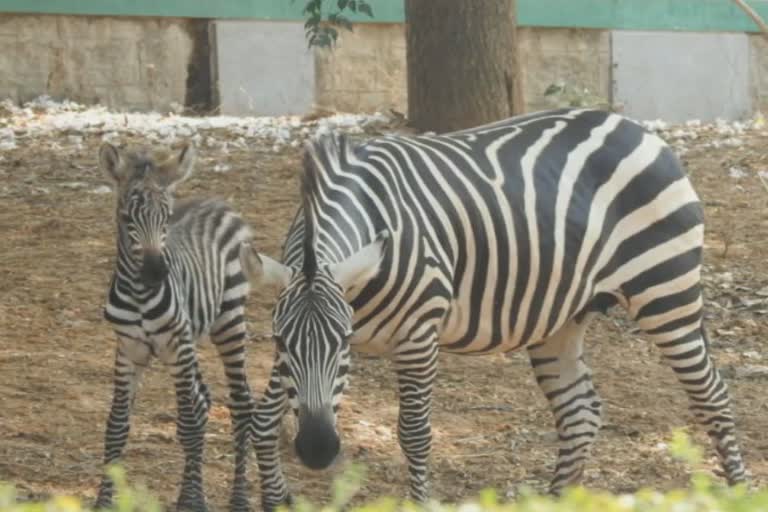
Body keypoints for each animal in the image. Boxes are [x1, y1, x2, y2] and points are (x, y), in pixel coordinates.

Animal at [95, 141, 255, 512]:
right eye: (126, 218)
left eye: (167, 217)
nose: (156, 273)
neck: (139, 294)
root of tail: (219, 201)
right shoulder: (128, 349)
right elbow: (117, 425)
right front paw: (104, 501)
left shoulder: (176, 345)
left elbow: (189, 424)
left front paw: (195, 501)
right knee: (203, 400)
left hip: (229, 320)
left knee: (240, 406)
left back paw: (238, 499)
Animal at [238, 109, 744, 508]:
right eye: (278, 340)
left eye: (344, 342)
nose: (317, 449)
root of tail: (638, 128)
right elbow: (262, 422)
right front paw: (276, 498)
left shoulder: (419, 333)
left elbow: (414, 434)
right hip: (563, 316)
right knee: (579, 411)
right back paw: (557, 500)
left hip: (665, 289)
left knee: (714, 397)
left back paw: (741, 490)